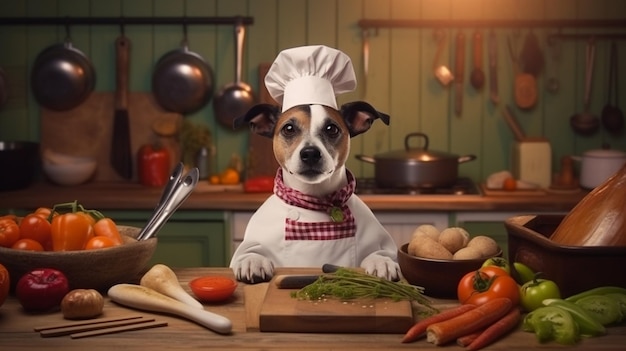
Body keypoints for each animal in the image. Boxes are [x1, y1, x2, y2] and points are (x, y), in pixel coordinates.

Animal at [229, 101, 400, 284]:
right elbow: (250, 251)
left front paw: (381, 262)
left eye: (331, 129)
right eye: (288, 128)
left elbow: (378, 252)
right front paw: (252, 261)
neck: (313, 201)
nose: (310, 153)